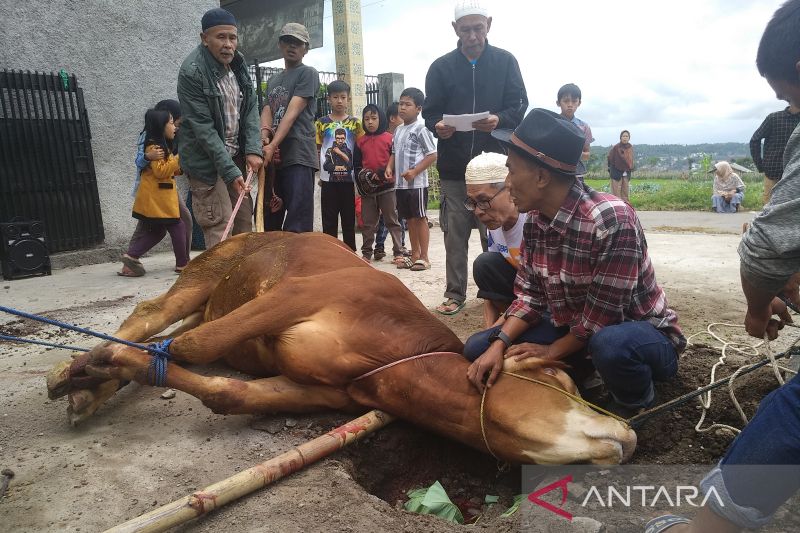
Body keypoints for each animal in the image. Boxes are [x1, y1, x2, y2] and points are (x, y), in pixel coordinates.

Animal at [45, 231, 636, 464]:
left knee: (165, 335)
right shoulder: (295, 296)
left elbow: (226, 393)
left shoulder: (331, 393)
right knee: (156, 317)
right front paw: (90, 362)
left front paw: (105, 369)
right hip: (205, 273)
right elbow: (195, 344)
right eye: (557, 378)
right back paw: (77, 374)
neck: (394, 352)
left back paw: (90, 388)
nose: (628, 433)